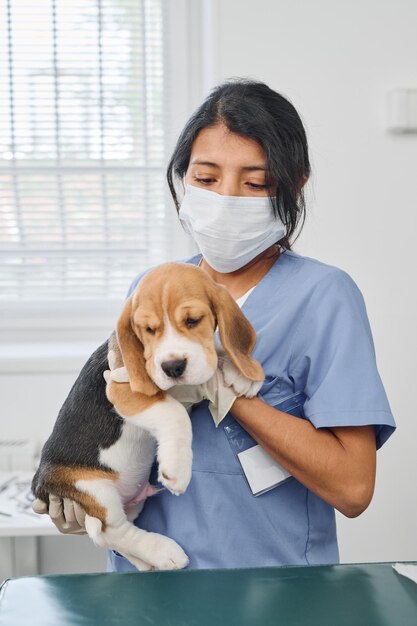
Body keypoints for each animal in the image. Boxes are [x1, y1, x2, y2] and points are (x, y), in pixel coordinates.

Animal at [31, 260, 264, 568]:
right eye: (148, 329)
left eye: (193, 321)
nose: (173, 367)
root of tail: (38, 483)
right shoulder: (123, 389)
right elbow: (174, 411)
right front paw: (177, 467)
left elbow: (214, 353)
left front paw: (241, 371)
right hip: (90, 488)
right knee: (110, 530)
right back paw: (163, 551)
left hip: (129, 501)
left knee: (109, 535)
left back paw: (150, 561)